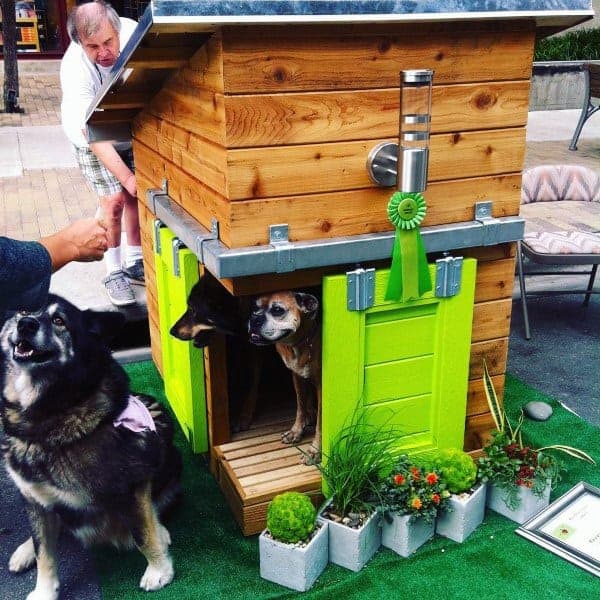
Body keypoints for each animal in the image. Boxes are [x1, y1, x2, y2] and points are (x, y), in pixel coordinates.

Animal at [0, 296, 180, 600]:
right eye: (24, 312)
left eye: (59, 320)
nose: (25, 323)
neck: (47, 416)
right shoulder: (34, 495)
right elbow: (44, 551)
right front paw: (44, 590)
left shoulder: (130, 487)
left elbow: (142, 534)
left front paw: (159, 571)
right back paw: (25, 551)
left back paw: (162, 530)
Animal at [248, 290, 324, 464]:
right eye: (255, 307)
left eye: (277, 310)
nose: (254, 317)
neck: (302, 343)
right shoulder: (297, 376)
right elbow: (300, 406)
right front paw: (296, 431)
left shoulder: (322, 388)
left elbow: (321, 424)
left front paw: (315, 451)